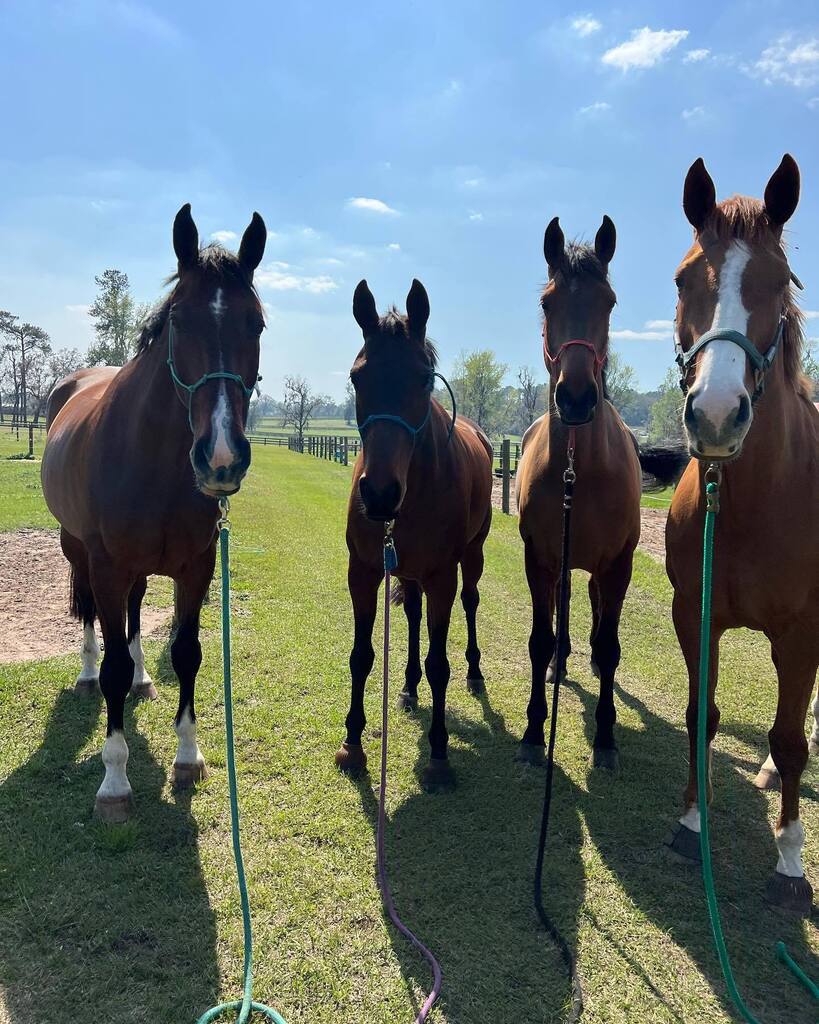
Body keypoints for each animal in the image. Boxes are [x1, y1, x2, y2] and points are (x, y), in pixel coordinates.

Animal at [41, 204, 267, 822]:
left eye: (256, 325)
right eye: (179, 322)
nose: (222, 457)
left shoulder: (196, 567)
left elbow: (186, 654)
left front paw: (188, 757)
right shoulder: (108, 565)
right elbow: (114, 656)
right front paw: (114, 782)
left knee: (138, 616)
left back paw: (143, 679)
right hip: (77, 550)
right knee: (93, 619)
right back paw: (88, 674)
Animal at [335, 279, 493, 790]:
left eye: (424, 379)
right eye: (357, 377)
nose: (381, 494)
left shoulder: (442, 576)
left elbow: (440, 666)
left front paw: (439, 754)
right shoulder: (364, 572)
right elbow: (361, 655)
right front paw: (353, 744)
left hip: (471, 558)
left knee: (470, 603)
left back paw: (475, 671)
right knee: (412, 615)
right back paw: (406, 686)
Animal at [516, 215, 688, 769]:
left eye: (608, 302)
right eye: (548, 302)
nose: (574, 398)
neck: (579, 468)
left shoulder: (619, 564)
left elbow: (612, 648)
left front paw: (607, 737)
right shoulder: (540, 559)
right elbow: (539, 639)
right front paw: (533, 732)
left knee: (592, 606)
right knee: (567, 604)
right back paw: (563, 661)